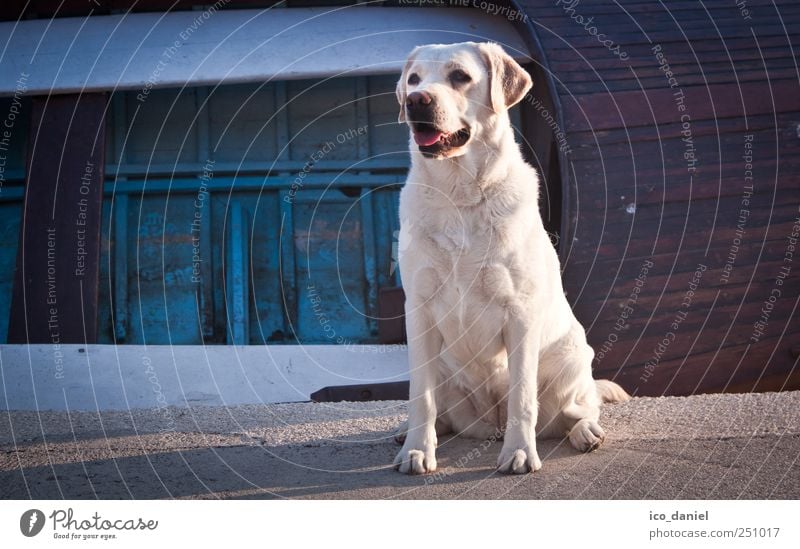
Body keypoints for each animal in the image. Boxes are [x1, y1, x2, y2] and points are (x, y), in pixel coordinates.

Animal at [390, 40, 628, 474]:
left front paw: (519, 452)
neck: (461, 196)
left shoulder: (519, 311)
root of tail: (491, 423)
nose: (416, 100)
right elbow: (421, 398)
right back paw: (405, 432)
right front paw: (416, 451)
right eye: (413, 80)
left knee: (578, 408)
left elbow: (522, 396)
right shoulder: (418, 308)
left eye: (460, 76)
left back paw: (586, 432)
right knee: (442, 413)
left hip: (572, 358)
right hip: (443, 366)